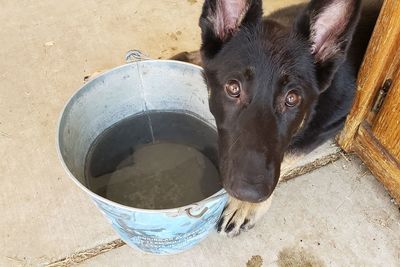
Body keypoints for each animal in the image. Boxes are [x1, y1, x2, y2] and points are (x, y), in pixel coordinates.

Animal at [173, 0, 382, 239]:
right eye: (233, 88)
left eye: (292, 98)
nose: (249, 193)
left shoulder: (339, 121)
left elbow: (289, 154)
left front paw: (243, 205)